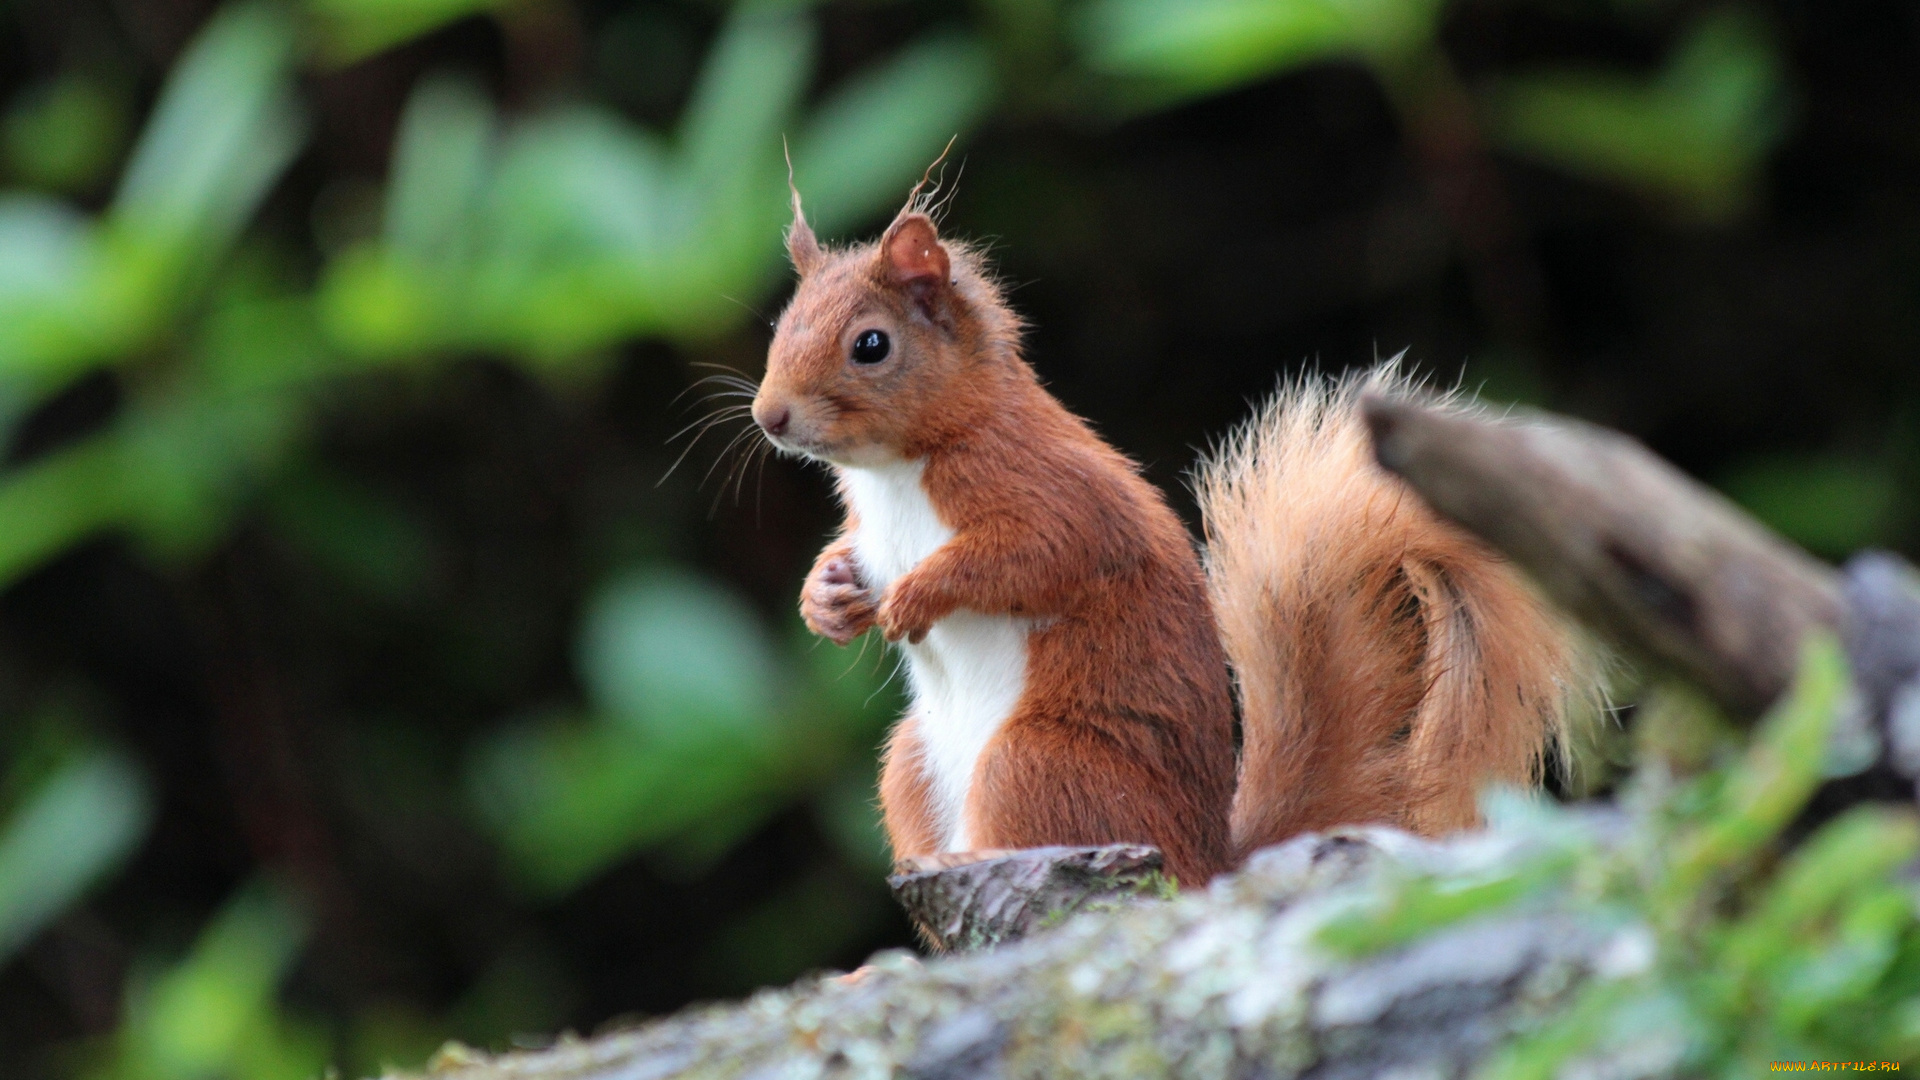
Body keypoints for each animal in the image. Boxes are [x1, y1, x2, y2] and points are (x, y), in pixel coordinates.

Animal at [744, 182, 1574, 883]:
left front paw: (915, 598)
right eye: (782, 326)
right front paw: (826, 600)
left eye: (871, 345)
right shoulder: (871, 529)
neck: (896, 472)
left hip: (1037, 761)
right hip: (912, 765)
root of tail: (1208, 861)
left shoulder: (1049, 492)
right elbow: (850, 559)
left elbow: (1036, 555)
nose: (768, 416)